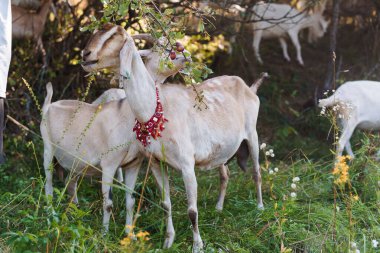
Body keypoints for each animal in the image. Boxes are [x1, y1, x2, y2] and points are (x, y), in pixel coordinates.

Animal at [42, 33, 189, 243]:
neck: (127, 114)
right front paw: (104, 235)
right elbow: (108, 202)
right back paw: (50, 216)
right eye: (160, 48)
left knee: (70, 183)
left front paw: (130, 236)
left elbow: (131, 200)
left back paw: (73, 210)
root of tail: (49, 105)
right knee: (48, 184)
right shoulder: (109, 163)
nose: (186, 55)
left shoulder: (133, 163)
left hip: (75, 161)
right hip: (48, 149)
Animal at [80, 24, 264, 253]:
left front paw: (197, 245)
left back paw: (259, 207)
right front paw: (168, 241)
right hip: (221, 150)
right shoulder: (156, 163)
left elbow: (192, 210)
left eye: (115, 35)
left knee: (257, 172)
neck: (156, 109)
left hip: (253, 133)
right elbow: (166, 203)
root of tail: (248, 87)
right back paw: (219, 208)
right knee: (225, 173)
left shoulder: (187, 164)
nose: (85, 54)